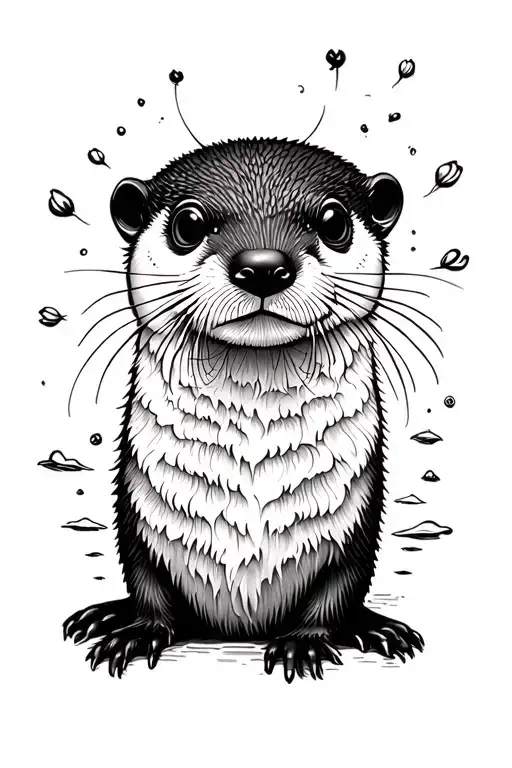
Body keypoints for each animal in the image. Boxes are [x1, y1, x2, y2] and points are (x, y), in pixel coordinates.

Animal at [63, 138, 424, 681]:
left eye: (333, 221)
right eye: (189, 224)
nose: (263, 266)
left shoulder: (357, 515)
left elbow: (338, 588)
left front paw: (305, 643)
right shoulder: (139, 507)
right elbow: (145, 579)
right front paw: (140, 630)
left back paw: (379, 630)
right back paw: (102, 617)